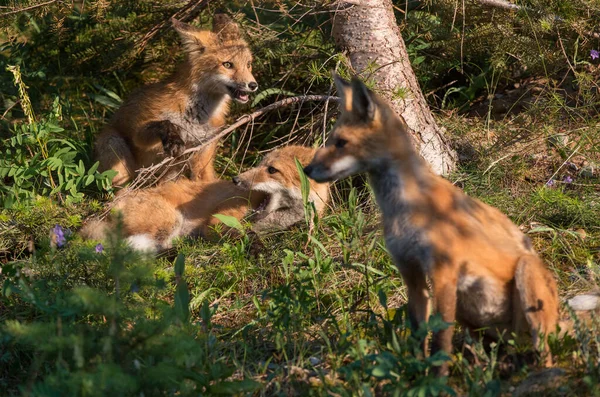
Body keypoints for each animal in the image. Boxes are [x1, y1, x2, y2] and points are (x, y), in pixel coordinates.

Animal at [81, 145, 328, 251]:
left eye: (272, 170)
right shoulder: (216, 223)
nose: (236, 179)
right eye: (260, 164)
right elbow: (243, 235)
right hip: (170, 221)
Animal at [95, 14, 258, 187]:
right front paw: (173, 139)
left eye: (249, 64)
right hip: (116, 151)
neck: (195, 117)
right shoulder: (140, 133)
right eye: (227, 64)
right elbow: (164, 123)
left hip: (172, 171)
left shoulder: (203, 148)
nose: (253, 85)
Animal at [304, 74, 564, 374]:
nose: (306, 170)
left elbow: (441, 340)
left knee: (544, 352)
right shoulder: (411, 274)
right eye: (331, 141)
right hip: (472, 313)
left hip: (525, 282)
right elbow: (419, 335)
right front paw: (418, 376)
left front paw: (438, 377)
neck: (403, 209)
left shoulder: (444, 273)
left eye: (341, 143)